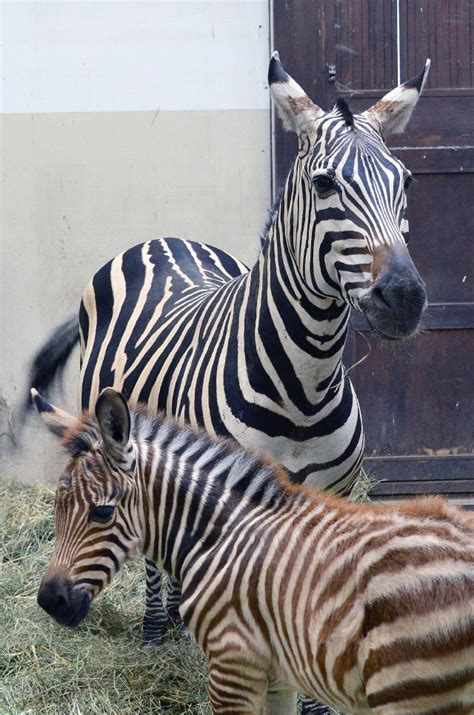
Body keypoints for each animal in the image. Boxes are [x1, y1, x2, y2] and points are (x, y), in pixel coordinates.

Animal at [28, 51, 429, 684]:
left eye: (405, 182)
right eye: (324, 184)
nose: (405, 299)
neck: (304, 387)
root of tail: (162, 238)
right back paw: (157, 626)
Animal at [33, 388, 474, 714]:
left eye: (102, 512)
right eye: (56, 507)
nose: (50, 600)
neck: (217, 536)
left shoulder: (233, 664)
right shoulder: (278, 675)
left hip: (406, 688)